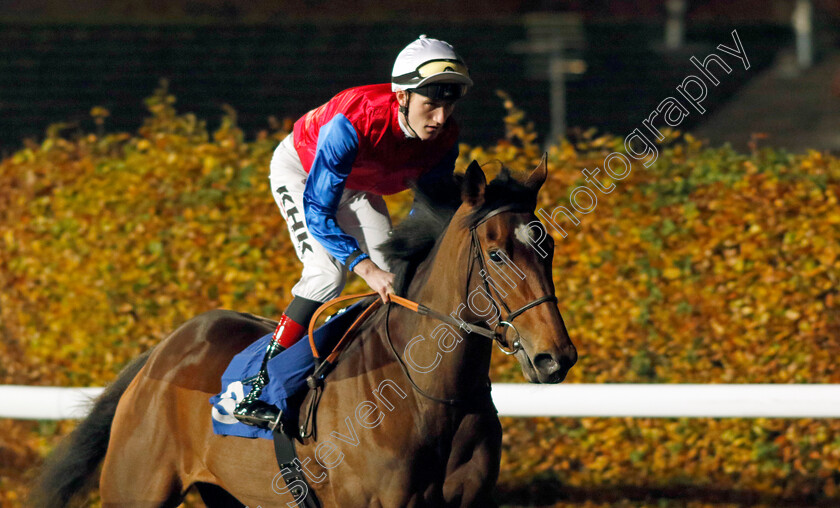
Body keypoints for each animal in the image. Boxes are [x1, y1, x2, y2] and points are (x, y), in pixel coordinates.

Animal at [32, 157, 576, 506]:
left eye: (547, 247)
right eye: (497, 254)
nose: (556, 356)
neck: (431, 396)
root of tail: (161, 353)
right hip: (136, 488)